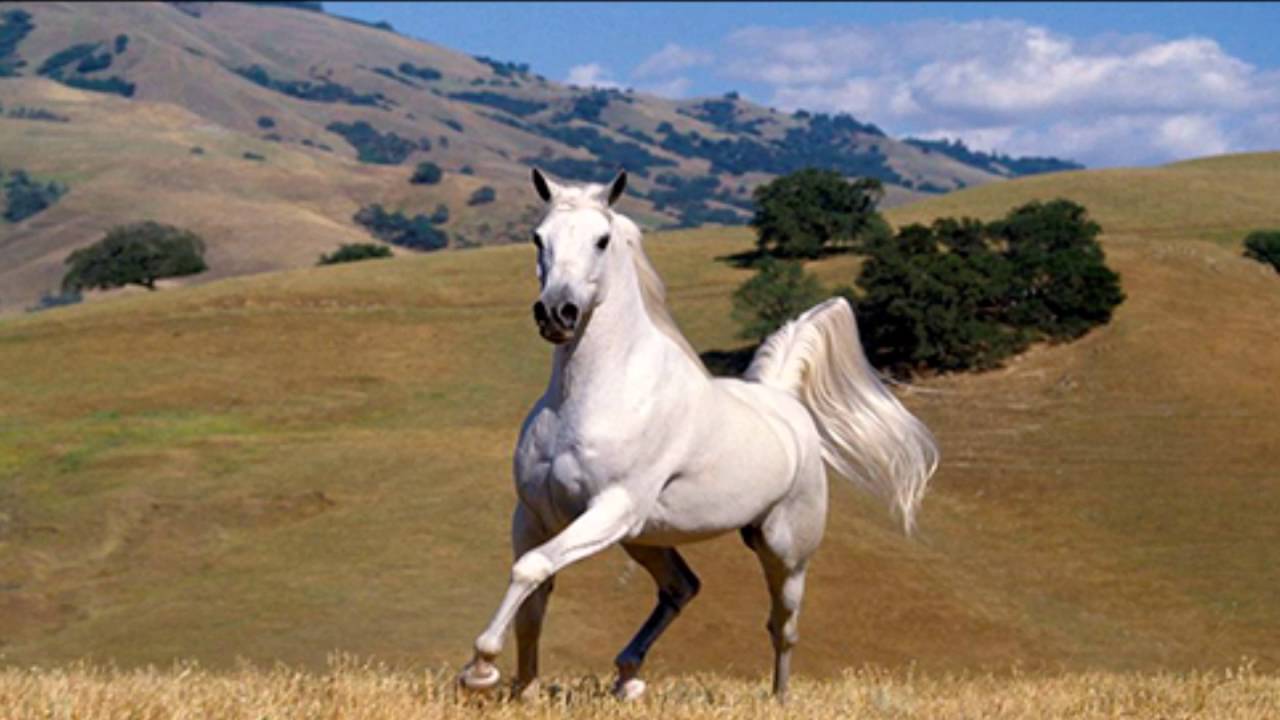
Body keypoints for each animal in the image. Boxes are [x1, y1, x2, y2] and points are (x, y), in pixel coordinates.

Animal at [457, 168, 939, 702]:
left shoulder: (610, 507)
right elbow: (533, 599)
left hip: (783, 551)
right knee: (682, 587)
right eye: (538, 238)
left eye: (602, 240)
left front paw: (480, 669)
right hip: (644, 538)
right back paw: (628, 676)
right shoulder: (535, 514)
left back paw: (777, 697)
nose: (556, 313)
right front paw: (522, 691)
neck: (587, 397)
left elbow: (532, 568)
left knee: (782, 626)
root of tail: (783, 402)